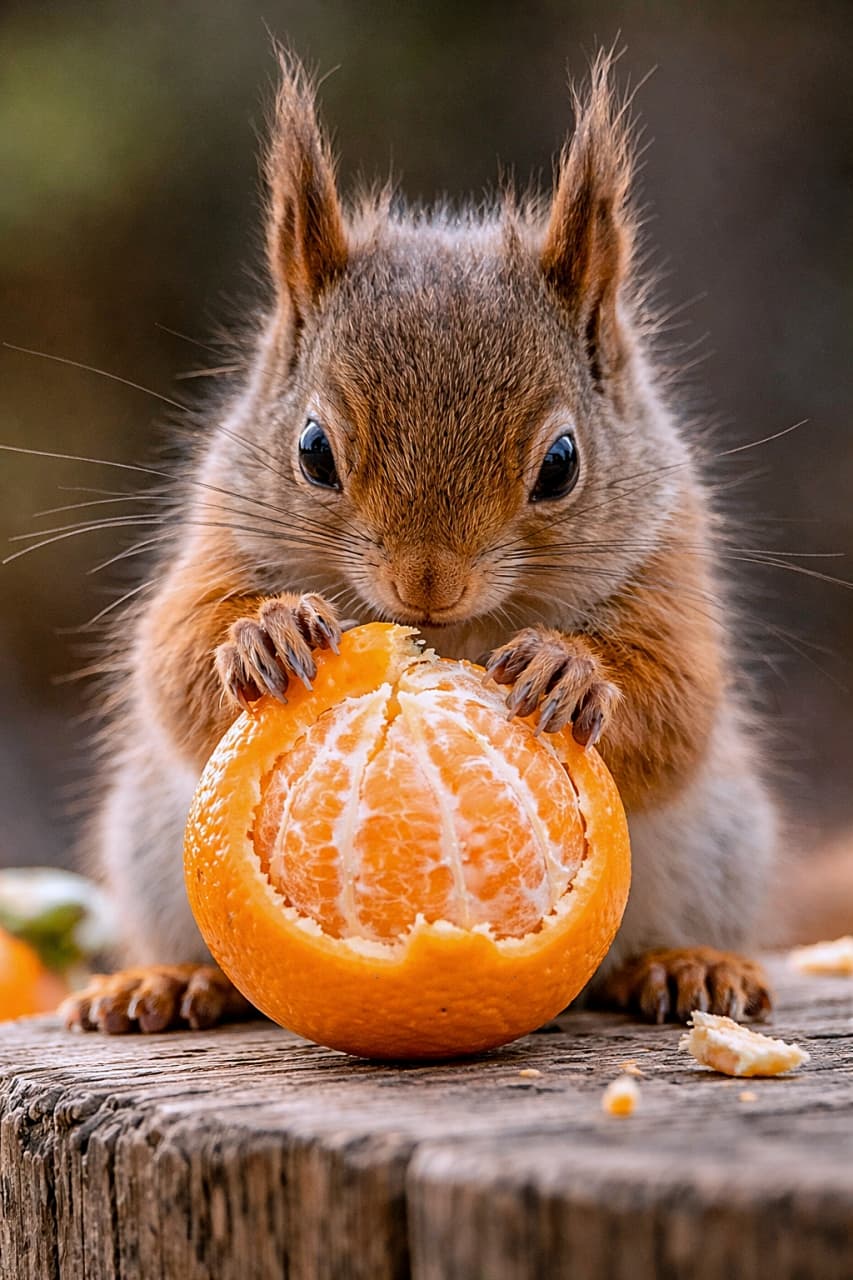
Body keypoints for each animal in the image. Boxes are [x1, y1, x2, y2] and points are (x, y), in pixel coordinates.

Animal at [62, 51, 776, 1035]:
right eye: (312, 450)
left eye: (561, 463)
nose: (425, 585)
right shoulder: (219, 530)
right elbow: (173, 660)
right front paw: (264, 634)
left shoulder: (667, 549)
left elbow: (676, 698)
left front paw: (570, 670)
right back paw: (168, 980)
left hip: (722, 845)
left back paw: (686, 965)